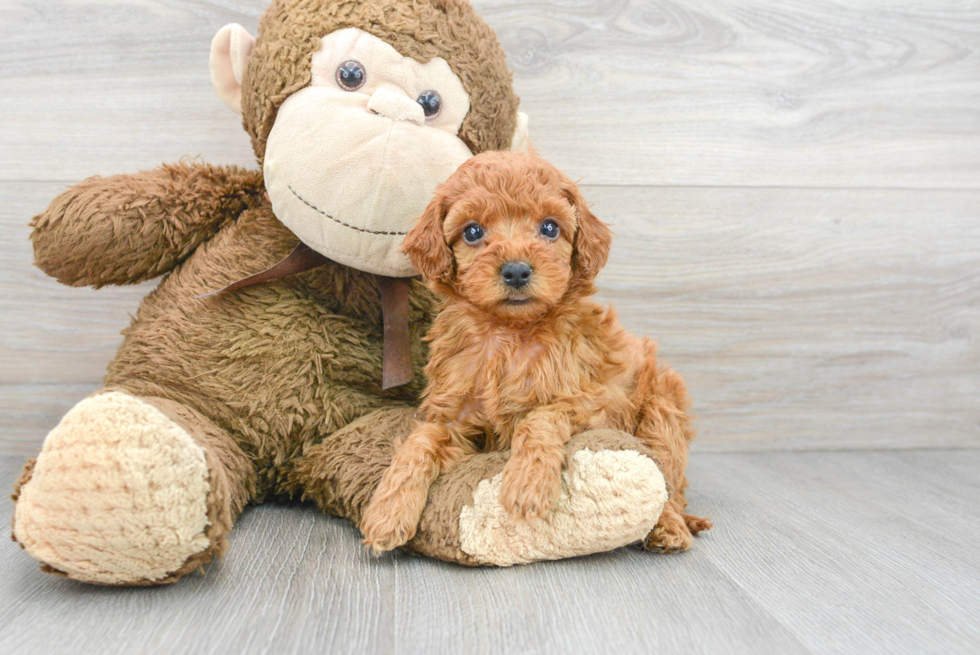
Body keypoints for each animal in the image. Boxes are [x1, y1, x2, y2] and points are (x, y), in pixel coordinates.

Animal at [360, 151, 712, 556]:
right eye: (472, 232)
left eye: (549, 228)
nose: (516, 271)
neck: (508, 333)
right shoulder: (453, 418)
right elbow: (420, 443)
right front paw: (387, 512)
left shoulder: (589, 404)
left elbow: (538, 418)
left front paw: (527, 484)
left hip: (662, 409)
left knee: (668, 483)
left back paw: (669, 528)